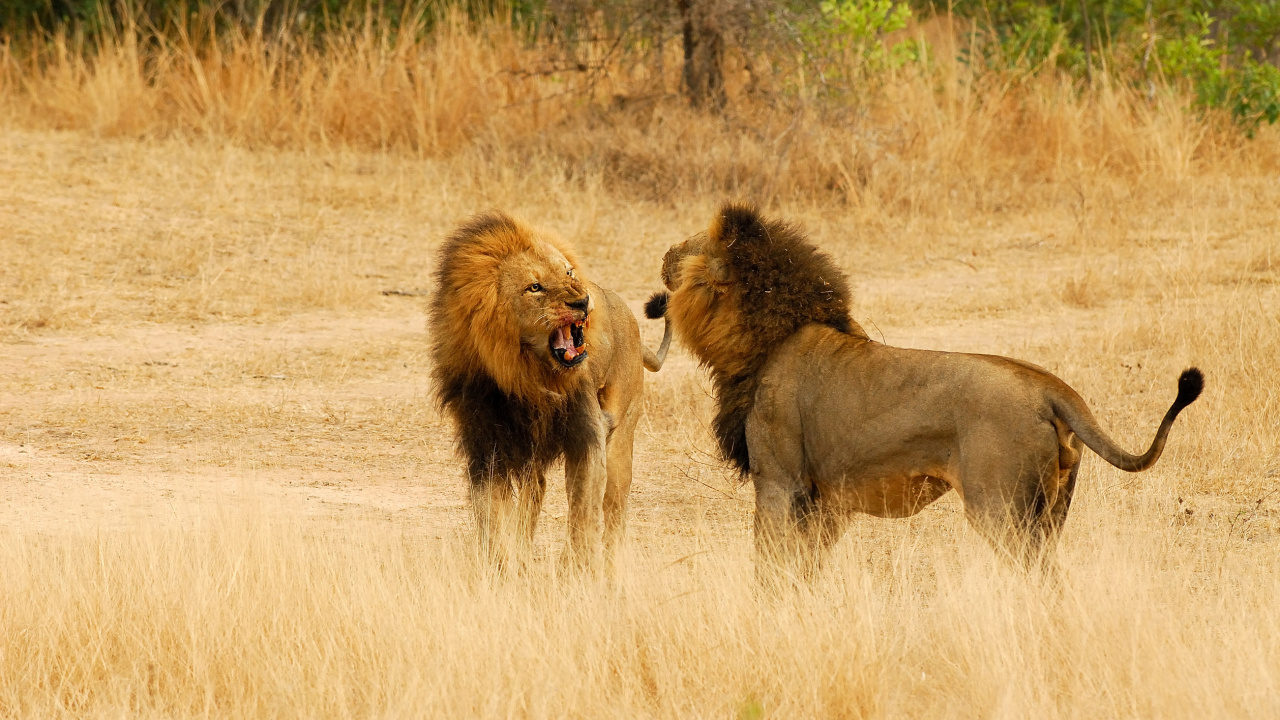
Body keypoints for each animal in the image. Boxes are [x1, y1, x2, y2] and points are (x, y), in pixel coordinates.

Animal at [430, 211, 671, 572]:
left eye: (568, 272)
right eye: (535, 287)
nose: (583, 300)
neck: (527, 376)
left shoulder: (586, 435)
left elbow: (583, 509)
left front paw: (576, 567)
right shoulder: (485, 444)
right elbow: (490, 514)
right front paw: (501, 564)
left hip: (621, 440)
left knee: (614, 510)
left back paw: (610, 565)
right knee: (536, 490)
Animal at [648, 203, 1203, 578]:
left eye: (693, 244)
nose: (664, 253)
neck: (766, 337)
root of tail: (1048, 386)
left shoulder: (779, 482)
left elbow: (769, 563)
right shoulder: (825, 499)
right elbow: (806, 565)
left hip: (1001, 508)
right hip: (1053, 509)